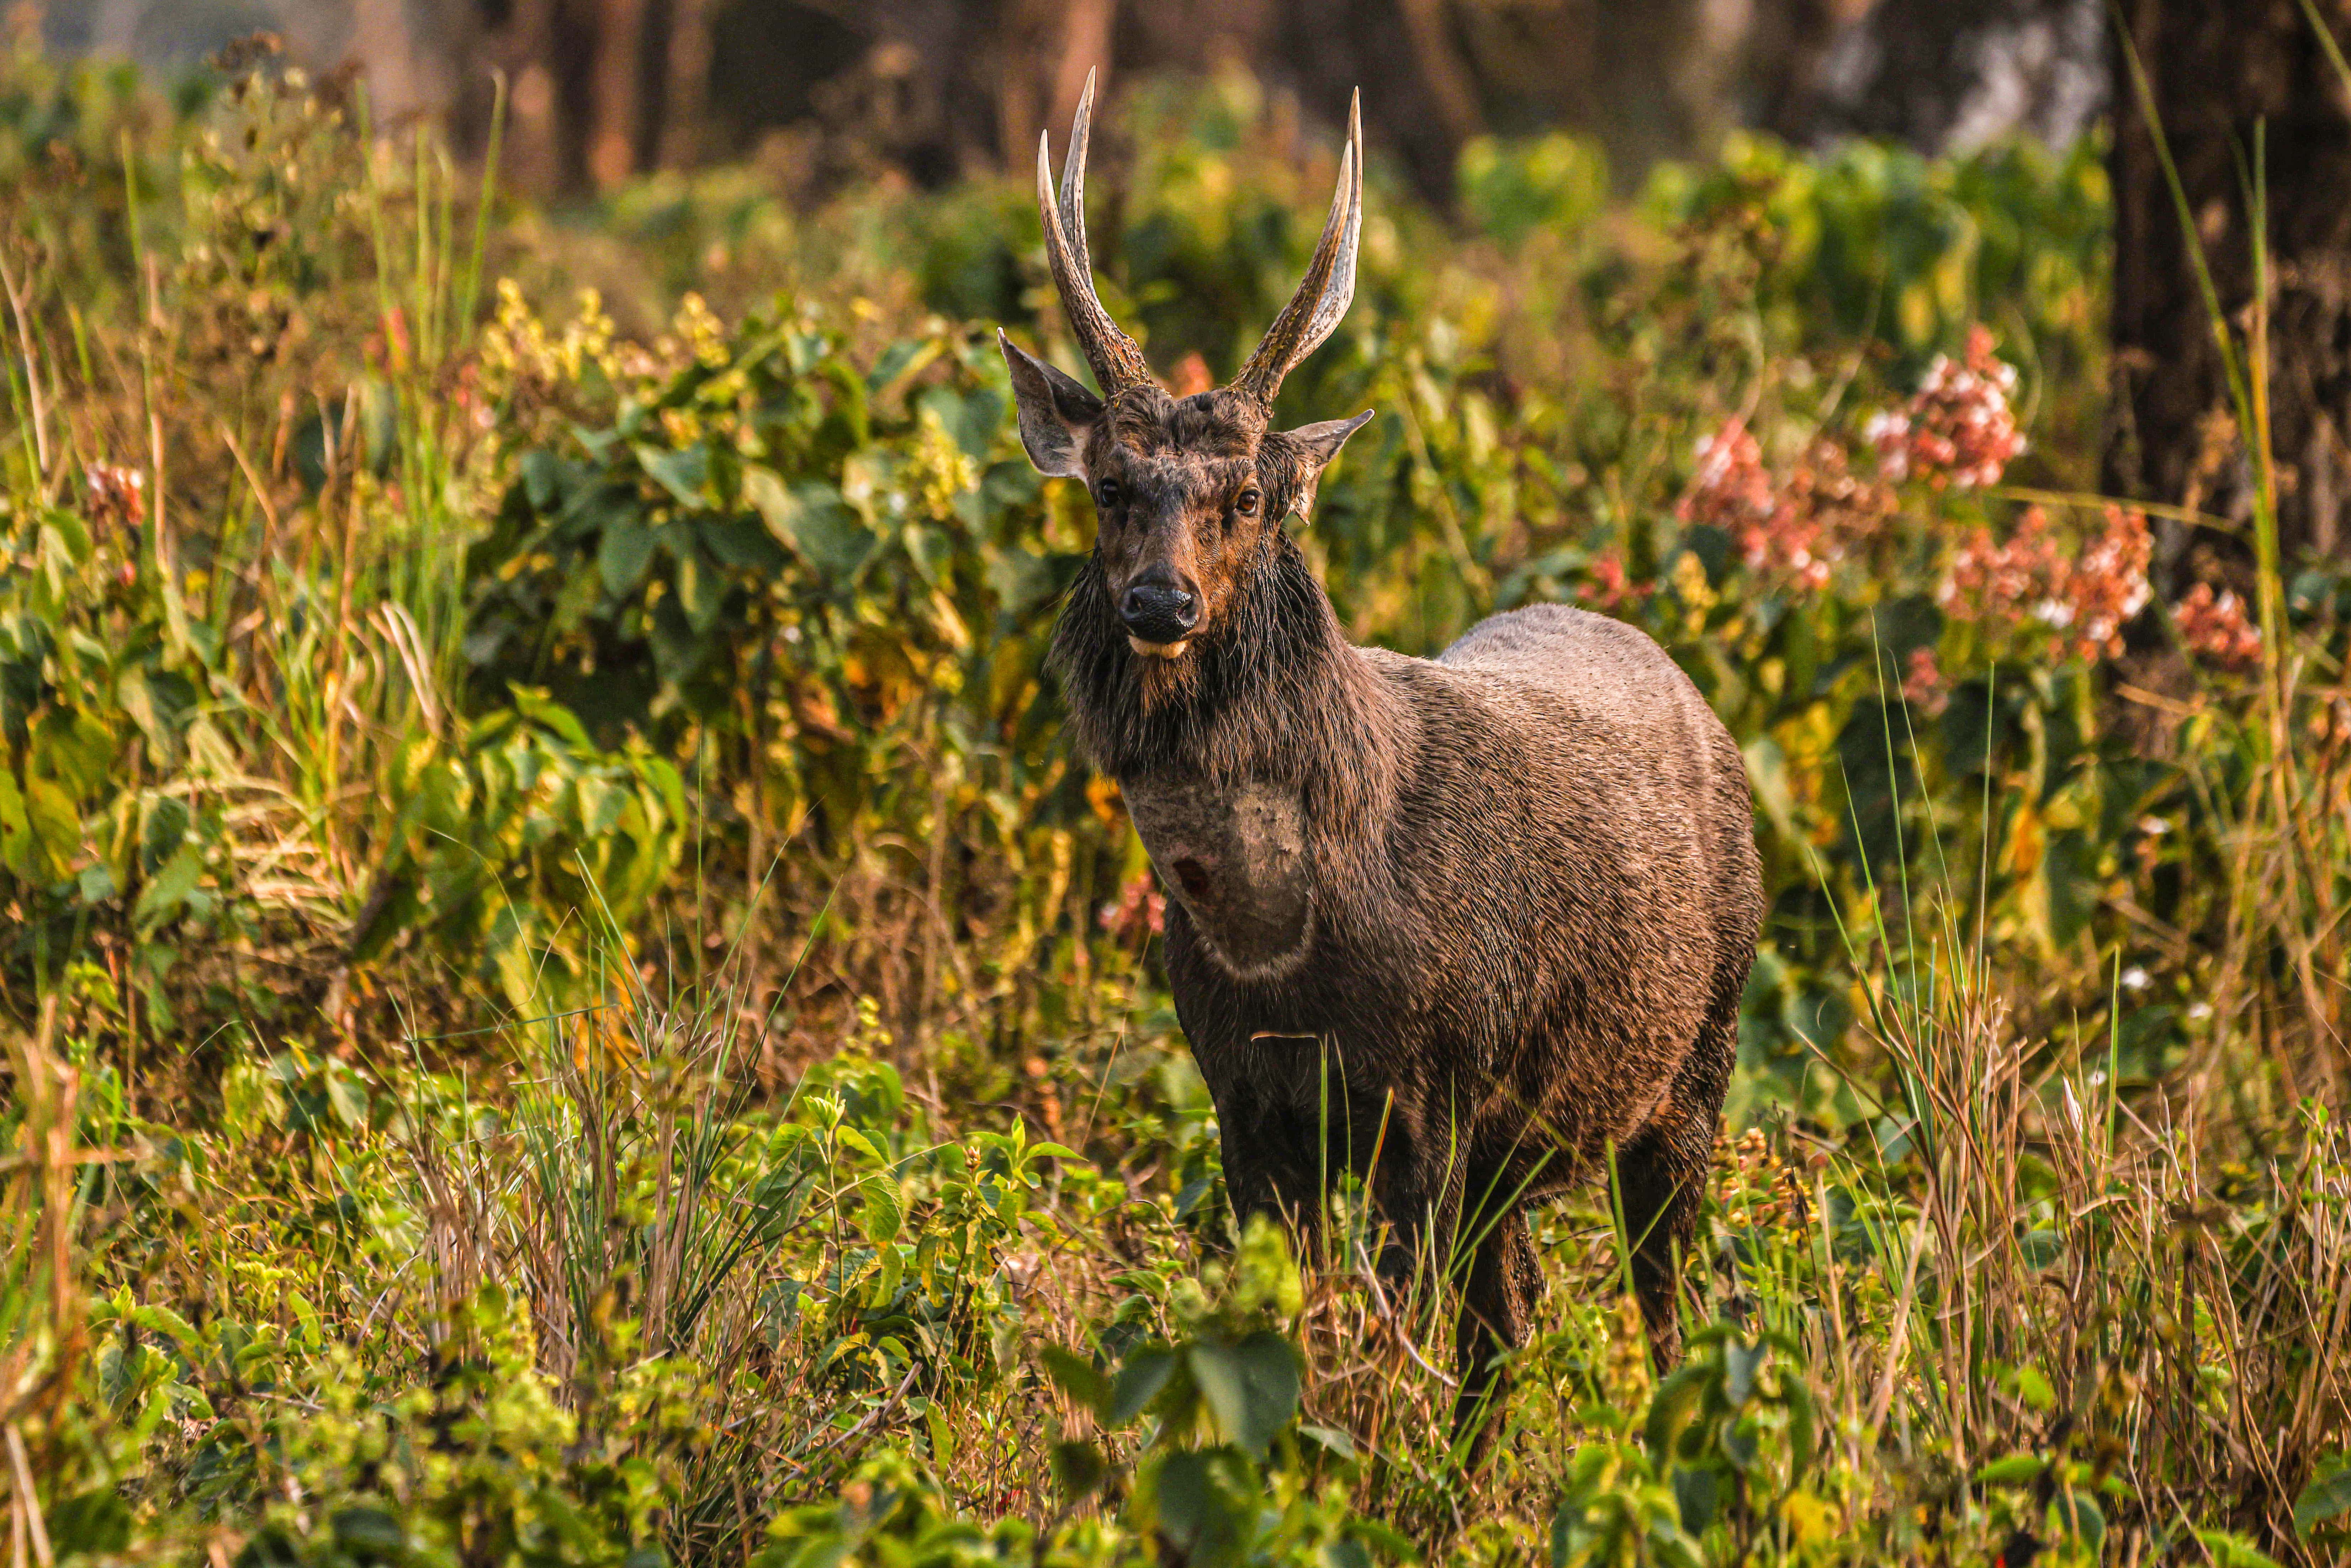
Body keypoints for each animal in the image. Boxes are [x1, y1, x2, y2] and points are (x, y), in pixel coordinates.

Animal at [997, 78, 1764, 1450]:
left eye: (1250, 496)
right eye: (1109, 485)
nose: (1159, 601)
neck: (1285, 946)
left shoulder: (1433, 1090)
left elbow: (1387, 1346)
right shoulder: (1243, 1106)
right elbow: (1297, 1338)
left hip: (1696, 1061)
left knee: (1657, 1305)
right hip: (1528, 1142)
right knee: (1510, 1313)